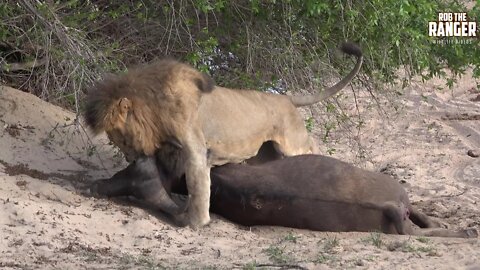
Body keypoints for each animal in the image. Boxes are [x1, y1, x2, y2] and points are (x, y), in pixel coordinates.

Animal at [85, 42, 364, 228]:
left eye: (120, 138)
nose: (129, 157)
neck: (156, 111)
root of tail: (286, 97)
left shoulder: (195, 149)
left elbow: (198, 188)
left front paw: (197, 223)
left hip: (291, 142)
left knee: (312, 145)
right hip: (265, 153)